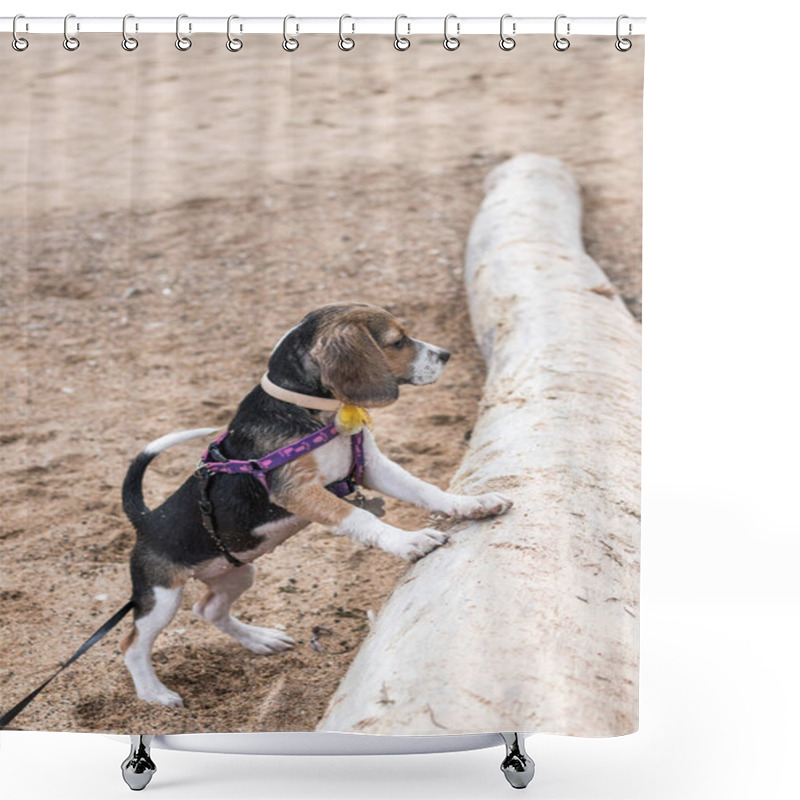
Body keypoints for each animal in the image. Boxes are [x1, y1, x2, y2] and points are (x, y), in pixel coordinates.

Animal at [119, 302, 512, 708]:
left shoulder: (373, 467)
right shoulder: (297, 491)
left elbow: (425, 489)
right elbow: (359, 516)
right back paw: (155, 693)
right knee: (132, 644)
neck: (315, 412)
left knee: (208, 609)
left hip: (238, 571)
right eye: (398, 340)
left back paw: (259, 639)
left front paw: (473, 503)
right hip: (160, 596)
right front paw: (408, 541)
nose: (445, 355)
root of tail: (146, 521)